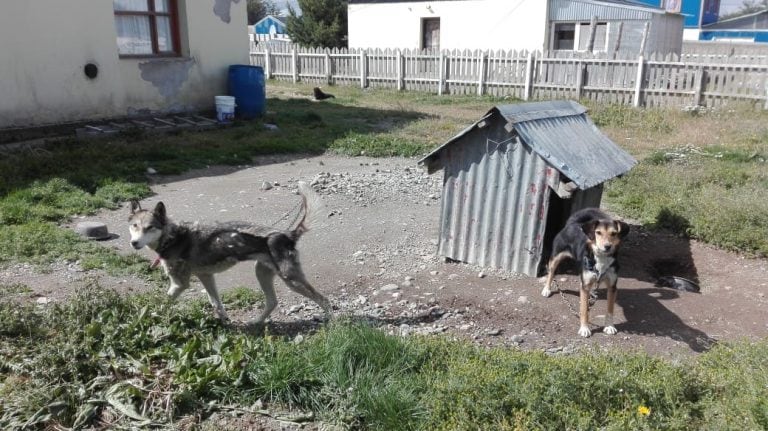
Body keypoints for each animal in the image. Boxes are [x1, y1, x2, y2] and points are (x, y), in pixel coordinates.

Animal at [127, 182, 332, 324]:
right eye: (134, 226)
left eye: (150, 227)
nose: (134, 243)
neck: (171, 237)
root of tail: (287, 234)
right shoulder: (206, 276)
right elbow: (216, 303)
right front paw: (225, 320)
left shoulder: (179, 284)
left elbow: (162, 302)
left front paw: (148, 316)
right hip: (262, 273)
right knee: (272, 302)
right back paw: (257, 322)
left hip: (292, 280)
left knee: (323, 299)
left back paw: (330, 323)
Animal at [540, 208, 632, 338]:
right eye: (598, 233)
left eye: (614, 233)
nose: (607, 246)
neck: (601, 258)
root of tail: (573, 223)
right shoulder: (585, 286)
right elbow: (584, 310)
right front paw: (584, 328)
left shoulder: (612, 286)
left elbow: (610, 309)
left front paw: (609, 326)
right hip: (556, 257)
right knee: (551, 272)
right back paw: (546, 289)